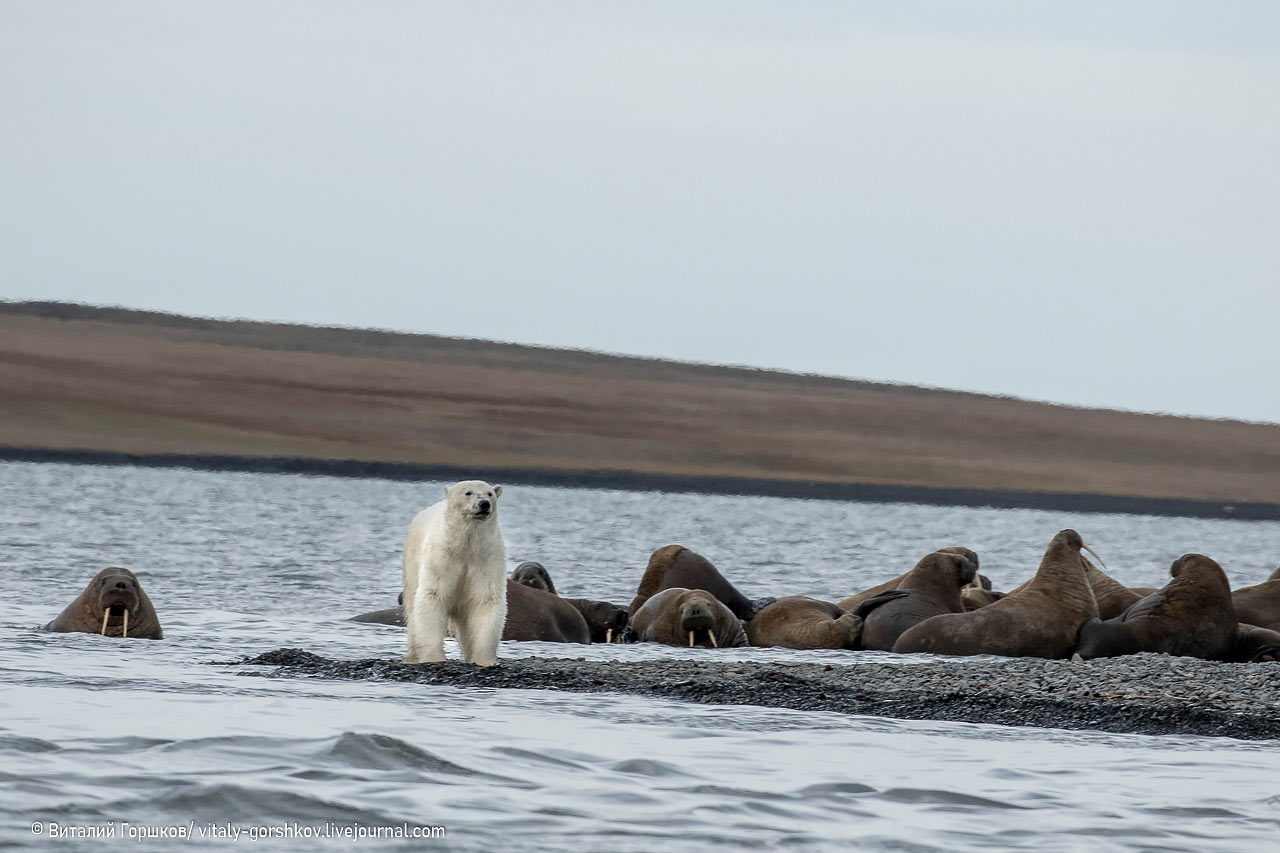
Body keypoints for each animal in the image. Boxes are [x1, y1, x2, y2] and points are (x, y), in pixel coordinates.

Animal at [401, 479, 506, 666]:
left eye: (490, 493)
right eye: (468, 492)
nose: (484, 504)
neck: (466, 548)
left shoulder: (487, 558)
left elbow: (485, 599)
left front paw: (483, 659)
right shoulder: (441, 558)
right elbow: (434, 594)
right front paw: (434, 657)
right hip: (412, 561)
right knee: (412, 606)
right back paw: (412, 656)